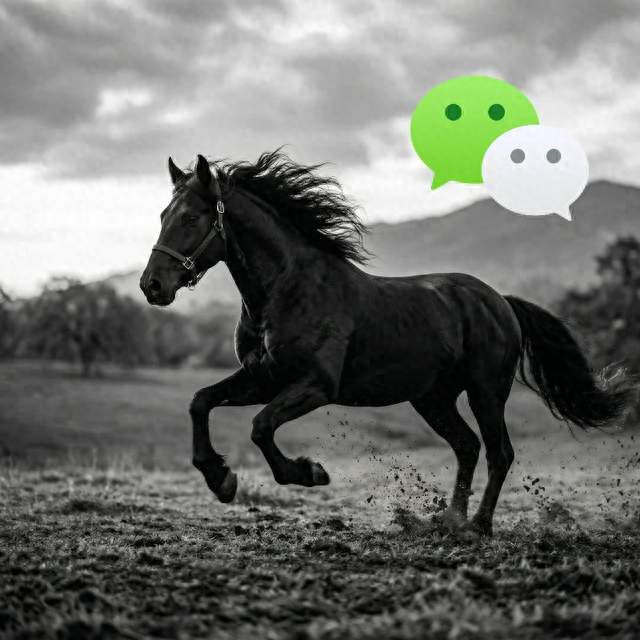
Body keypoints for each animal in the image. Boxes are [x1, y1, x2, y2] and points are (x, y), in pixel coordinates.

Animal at [140, 151, 631, 536]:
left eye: (190, 218)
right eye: (162, 216)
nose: (152, 285)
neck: (287, 289)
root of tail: (500, 301)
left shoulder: (315, 386)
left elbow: (261, 427)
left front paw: (310, 473)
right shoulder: (263, 378)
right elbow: (201, 401)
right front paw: (219, 479)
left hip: (486, 392)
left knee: (499, 453)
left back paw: (478, 526)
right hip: (433, 399)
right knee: (468, 447)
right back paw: (449, 521)